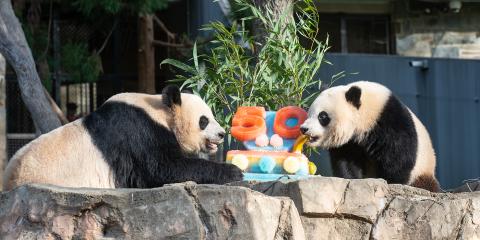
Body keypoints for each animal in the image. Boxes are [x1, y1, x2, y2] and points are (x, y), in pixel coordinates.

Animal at [2, 85, 244, 190]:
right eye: (204, 120)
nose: (221, 134)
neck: (159, 111)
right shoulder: (138, 133)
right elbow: (162, 168)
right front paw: (233, 171)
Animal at [302, 81, 440, 192]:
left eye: (322, 116)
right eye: (309, 114)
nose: (303, 129)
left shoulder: (390, 121)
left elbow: (399, 156)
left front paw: (390, 181)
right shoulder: (350, 142)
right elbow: (346, 160)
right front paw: (351, 178)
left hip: (423, 170)